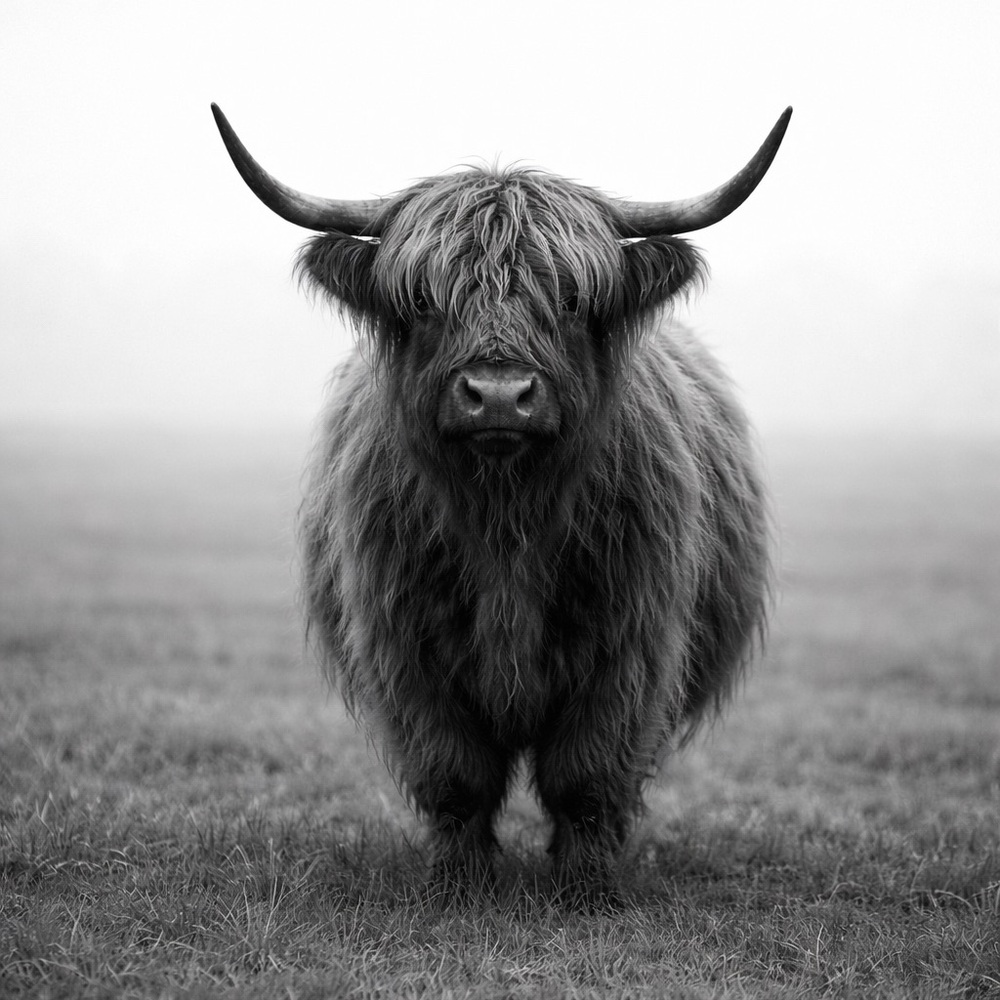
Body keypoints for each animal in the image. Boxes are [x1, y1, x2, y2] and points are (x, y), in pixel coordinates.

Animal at [211, 105, 789, 896]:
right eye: (424, 299)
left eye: (571, 298)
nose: (498, 395)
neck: (505, 516)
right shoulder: (405, 645)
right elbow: (456, 775)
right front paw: (461, 883)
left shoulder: (629, 643)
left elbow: (585, 774)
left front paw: (585, 887)